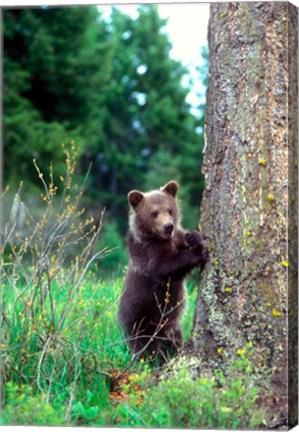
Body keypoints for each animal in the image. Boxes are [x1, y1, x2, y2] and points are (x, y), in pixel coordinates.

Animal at [118, 179, 209, 362]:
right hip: (142, 320)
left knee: (173, 340)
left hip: (170, 327)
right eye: (154, 213)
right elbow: (167, 267)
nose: (168, 226)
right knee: (146, 347)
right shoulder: (148, 255)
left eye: (170, 210)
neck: (160, 239)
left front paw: (193, 236)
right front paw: (199, 251)